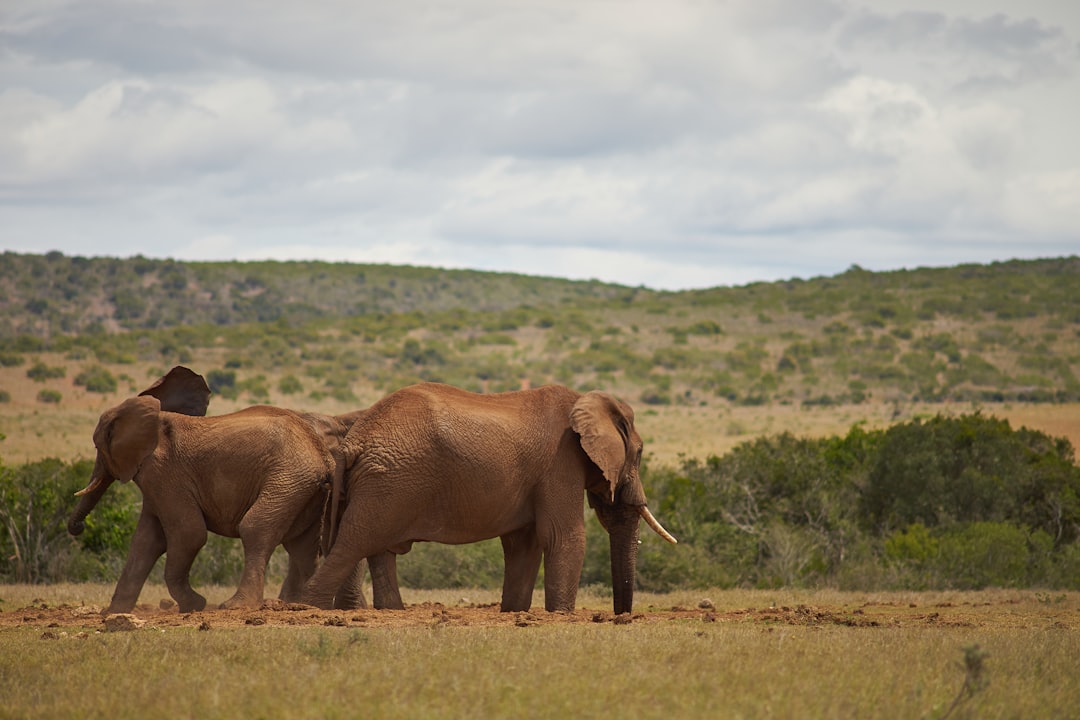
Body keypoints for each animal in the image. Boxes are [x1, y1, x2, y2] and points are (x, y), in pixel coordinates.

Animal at [68, 367, 371, 613]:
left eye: (97, 446)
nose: (77, 529)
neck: (154, 412)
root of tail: (321, 455)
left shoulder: (164, 474)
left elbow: (188, 534)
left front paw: (194, 606)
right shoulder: (156, 481)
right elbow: (145, 541)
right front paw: (112, 613)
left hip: (288, 479)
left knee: (255, 529)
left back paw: (236, 606)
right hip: (306, 490)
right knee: (302, 546)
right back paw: (301, 605)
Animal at [304, 382, 673, 613]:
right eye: (640, 452)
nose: (621, 616)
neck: (584, 401)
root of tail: (353, 441)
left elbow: (524, 544)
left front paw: (514, 612)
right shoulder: (560, 462)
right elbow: (562, 536)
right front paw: (560, 615)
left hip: (382, 481)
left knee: (378, 550)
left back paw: (391, 611)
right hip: (389, 482)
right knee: (355, 542)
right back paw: (309, 607)